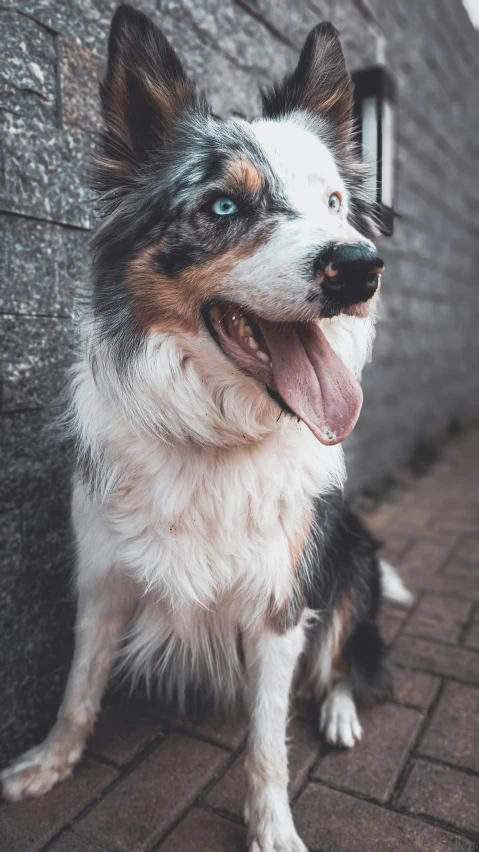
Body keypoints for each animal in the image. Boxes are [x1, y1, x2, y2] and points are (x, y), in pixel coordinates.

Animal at [0, 8, 412, 852]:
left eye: (332, 202)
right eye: (224, 207)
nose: (360, 266)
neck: (214, 434)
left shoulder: (282, 601)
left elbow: (265, 745)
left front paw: (273, 830)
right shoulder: (101, 576)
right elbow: (77, 688)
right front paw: (51, 764)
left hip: (348, 556)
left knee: (344, 656)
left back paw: (339, 712)